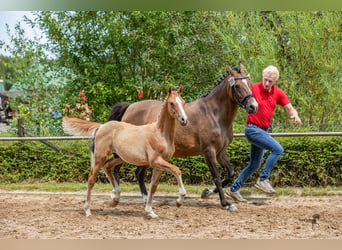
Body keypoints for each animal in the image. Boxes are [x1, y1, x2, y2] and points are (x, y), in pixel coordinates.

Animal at [62, 86, 188, 219]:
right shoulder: (155, 161)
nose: (184, 120)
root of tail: (101, 126)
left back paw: (115, 198)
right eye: (172, 103)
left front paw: (150, 211)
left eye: (183, 102)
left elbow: (153, 186)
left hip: (119, 157)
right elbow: (176, 170)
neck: (160, 133)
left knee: (107, 166)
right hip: (100, 156)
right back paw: (87, 210)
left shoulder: (159, 164)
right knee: (92, 178)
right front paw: (179, 201)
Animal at [108, 63, 258, 211]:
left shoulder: (220, 151)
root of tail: (129, 107)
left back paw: (146, 200)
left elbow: (230, 174)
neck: (213, 114)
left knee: (138, 173)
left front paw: (206, 192)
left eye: (249, 83)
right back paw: (117, 197)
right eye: (237, 86)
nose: (253, 106)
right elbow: (216, 177)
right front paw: (225, 203)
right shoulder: (209, 151)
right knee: (116, 169)